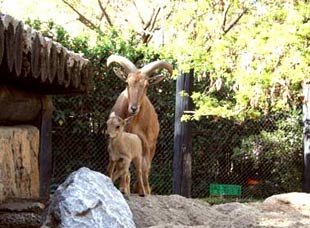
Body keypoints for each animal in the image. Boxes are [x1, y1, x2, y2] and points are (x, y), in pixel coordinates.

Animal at [108, 54, 173, 193]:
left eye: (147, 85)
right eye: (127, 82)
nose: (133, 108)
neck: (133, 123)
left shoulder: (147, 144)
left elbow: (144, 168)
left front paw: (144, 190)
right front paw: (123, 187)